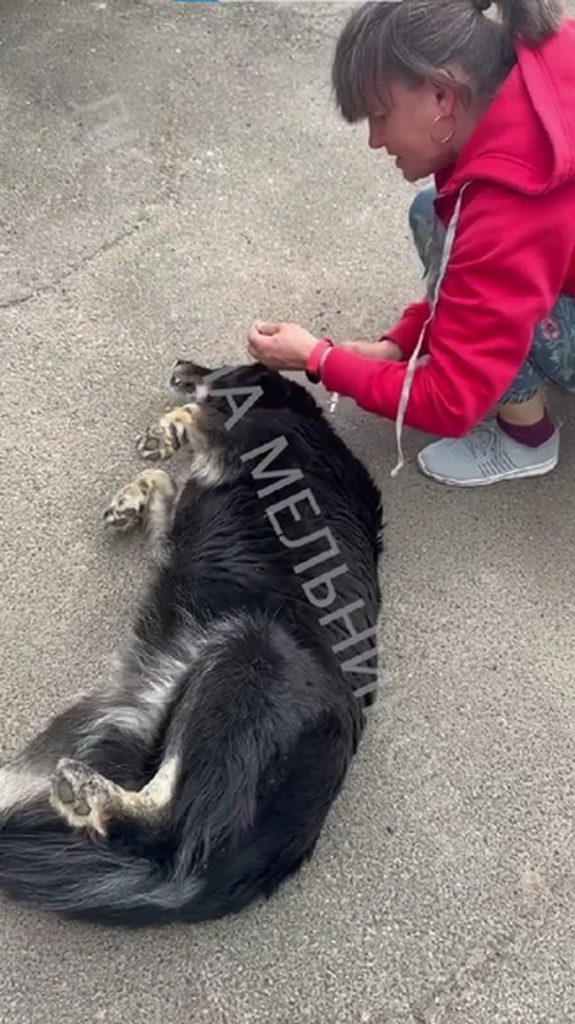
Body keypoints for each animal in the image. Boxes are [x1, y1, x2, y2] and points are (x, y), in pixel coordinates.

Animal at [0, 360, 383, 926]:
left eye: (221, 363)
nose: (179, 364)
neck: (294, 414)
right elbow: (165, 480)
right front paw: (131, 499)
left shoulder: (251, 443)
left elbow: (197, 418)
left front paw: (166, 431)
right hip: (139, 720)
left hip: (248, 658)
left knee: (166, 826)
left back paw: (91, 797)